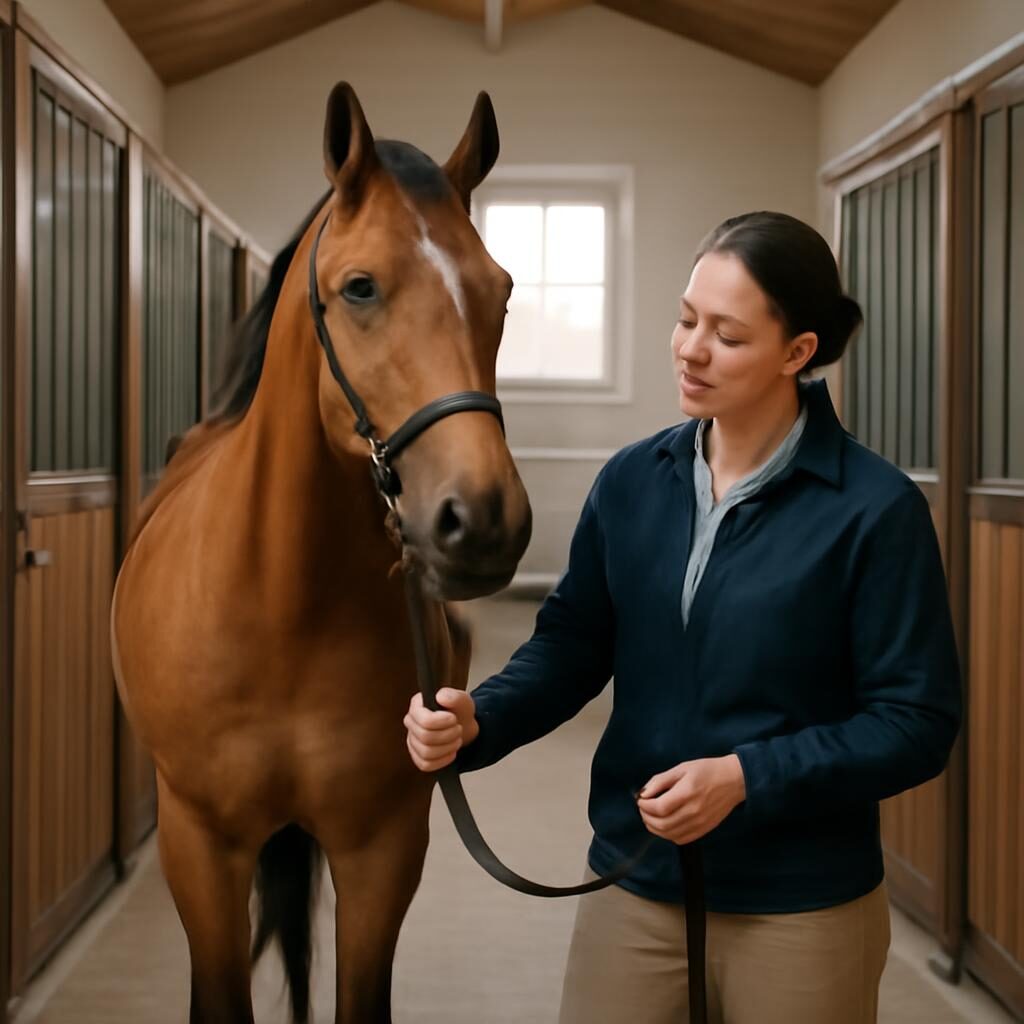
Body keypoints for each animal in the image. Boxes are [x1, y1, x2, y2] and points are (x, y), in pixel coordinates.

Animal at [111, 82, 532, 1024]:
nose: (484, 520)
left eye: (502, 291)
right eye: (360, 287)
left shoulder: (383, 845)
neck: (281, 602)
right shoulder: (199, 844)